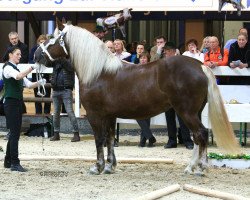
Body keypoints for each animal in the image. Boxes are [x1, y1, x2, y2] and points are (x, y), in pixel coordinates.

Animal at [34, 18, 241, 175]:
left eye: (51, 38)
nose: (36, 55)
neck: (98, 72)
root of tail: (200, 66)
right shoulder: (110, 116)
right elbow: (110, 139)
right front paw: (109, 166)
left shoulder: (95, 115)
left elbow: (99, 139)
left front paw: (97, 167)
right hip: (195, 112)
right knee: (199, 136)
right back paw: (193, 166)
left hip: (186, 112)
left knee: (201, 134)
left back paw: (199, 168)